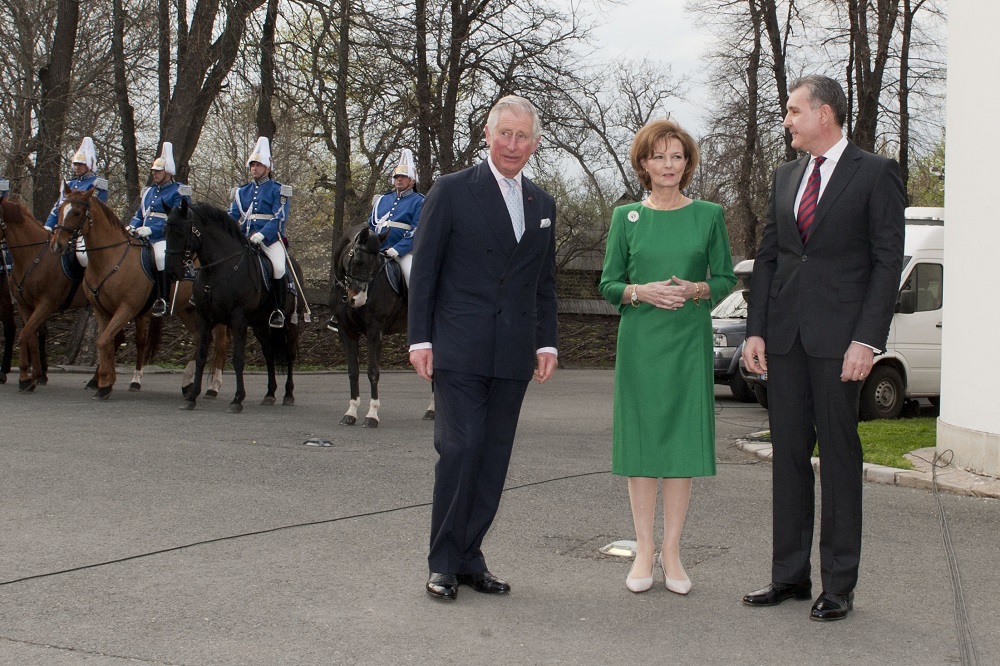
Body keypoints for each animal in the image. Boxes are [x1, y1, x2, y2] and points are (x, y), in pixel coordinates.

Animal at [48, 187, 161, 396]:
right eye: (59, 209)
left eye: (77, 213)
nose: (57, 245)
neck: (110, 258)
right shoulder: (102, 309)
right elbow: (104, 341)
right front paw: (102, 381)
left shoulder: (126, 309)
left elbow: (103, 341)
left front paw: (106, 384)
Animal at [161, 200, 296, 412]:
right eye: (165, 231)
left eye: (181, 233)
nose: (171, 271)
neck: (217, 269)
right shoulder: (204, 317)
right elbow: (201, 356)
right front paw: (192, 397)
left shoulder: (238, 319)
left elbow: (238, 359)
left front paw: (237, 399)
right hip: (260, 325)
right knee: (268, 353)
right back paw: (270, 394)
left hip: (289, 322)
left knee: (289, 354)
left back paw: (288, 394)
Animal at [332, 223, 434, 426]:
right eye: (358, 261)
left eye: (374, 265)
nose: (358, 299)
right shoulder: (346, 331)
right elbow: (353, 371)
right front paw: (351, 412)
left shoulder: (374, 331)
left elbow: (373, 371)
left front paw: (372, 415)